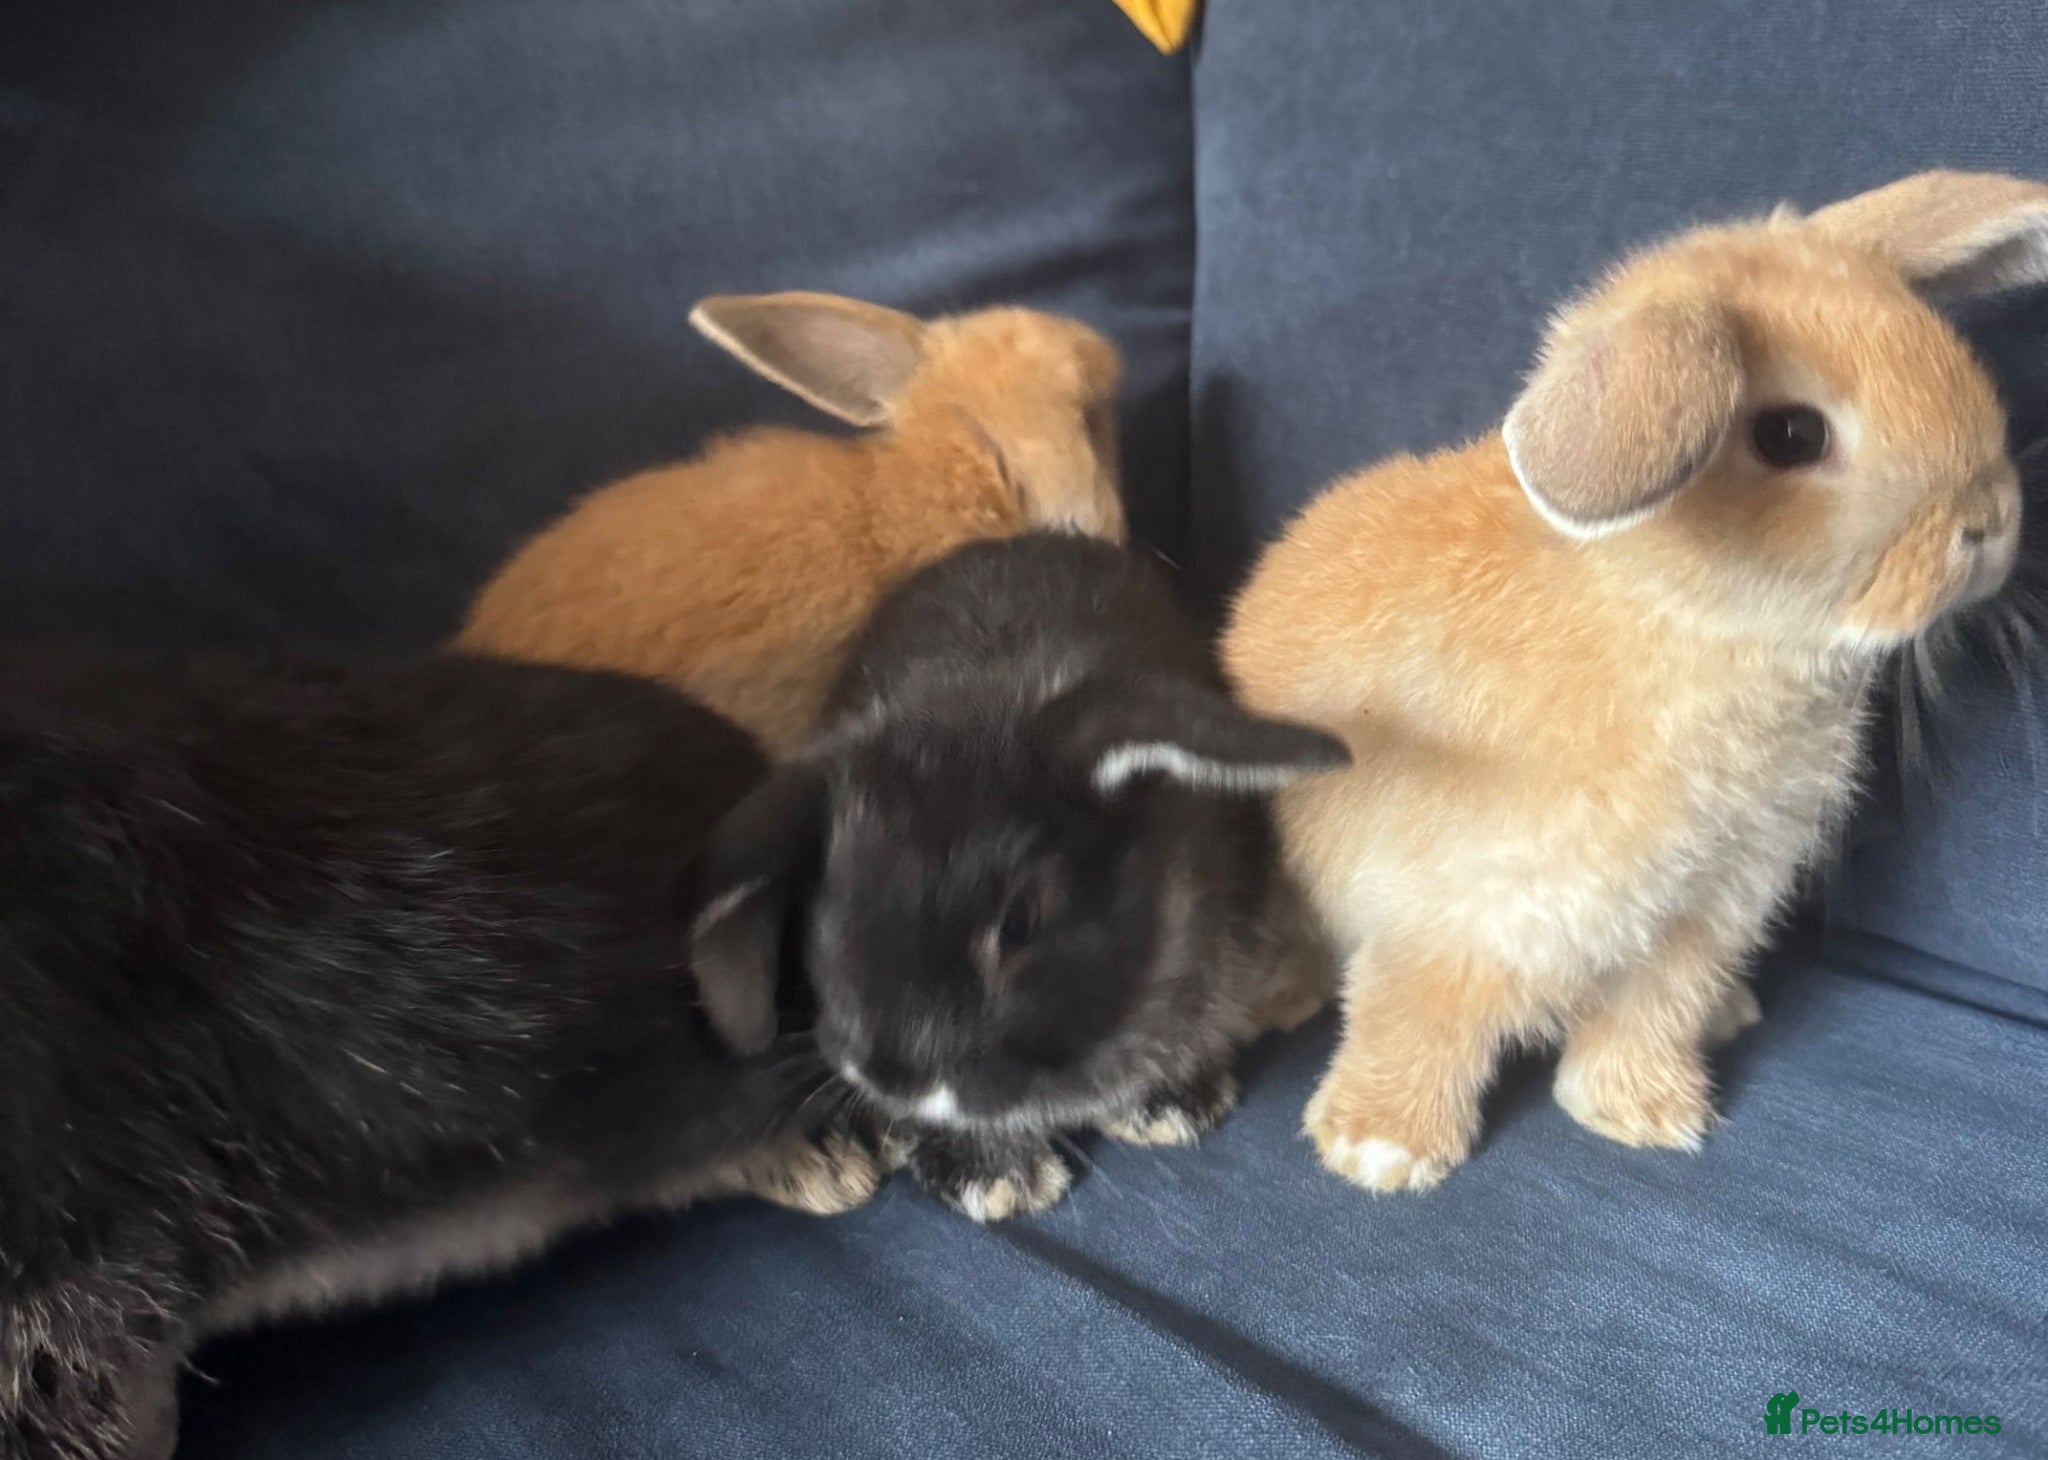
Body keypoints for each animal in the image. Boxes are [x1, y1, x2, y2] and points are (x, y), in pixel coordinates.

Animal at [1222, 169, 2043, 1194]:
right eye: (1790, 433)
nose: (1990, 522)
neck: (1672, 611)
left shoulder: (1705, 912)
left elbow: (1651, 1015)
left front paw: (1644, 1114)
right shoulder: (1462, 913)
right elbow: (1413, 1016)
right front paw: (1381, 1149)